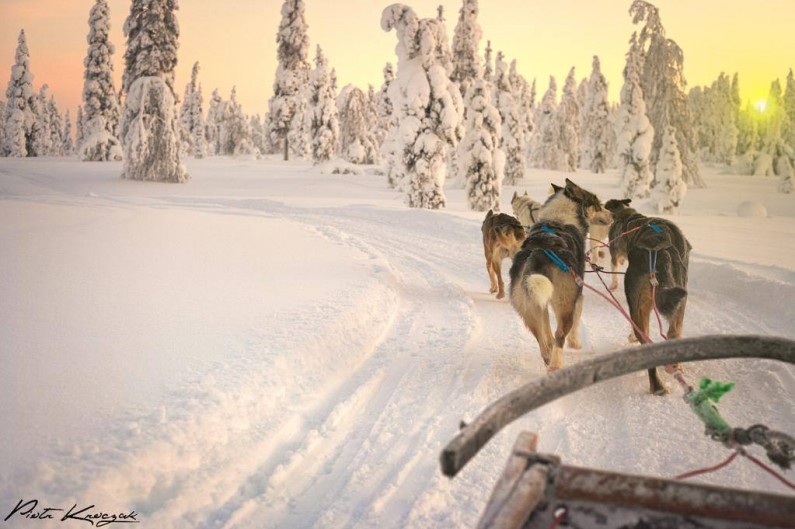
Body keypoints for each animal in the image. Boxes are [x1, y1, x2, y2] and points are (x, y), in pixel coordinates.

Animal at [510, 179, 608, 370]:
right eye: (598, 205)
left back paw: (548, 358)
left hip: (529, 306)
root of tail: (541, 250)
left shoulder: (541, 303)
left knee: (542, 337)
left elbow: (546, 330)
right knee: (560, 333)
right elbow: (576, 320)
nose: (612, 214)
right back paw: (556, 365)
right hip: (565, 302)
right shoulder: (578, 295)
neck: (559, 218)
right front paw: (575, 343)